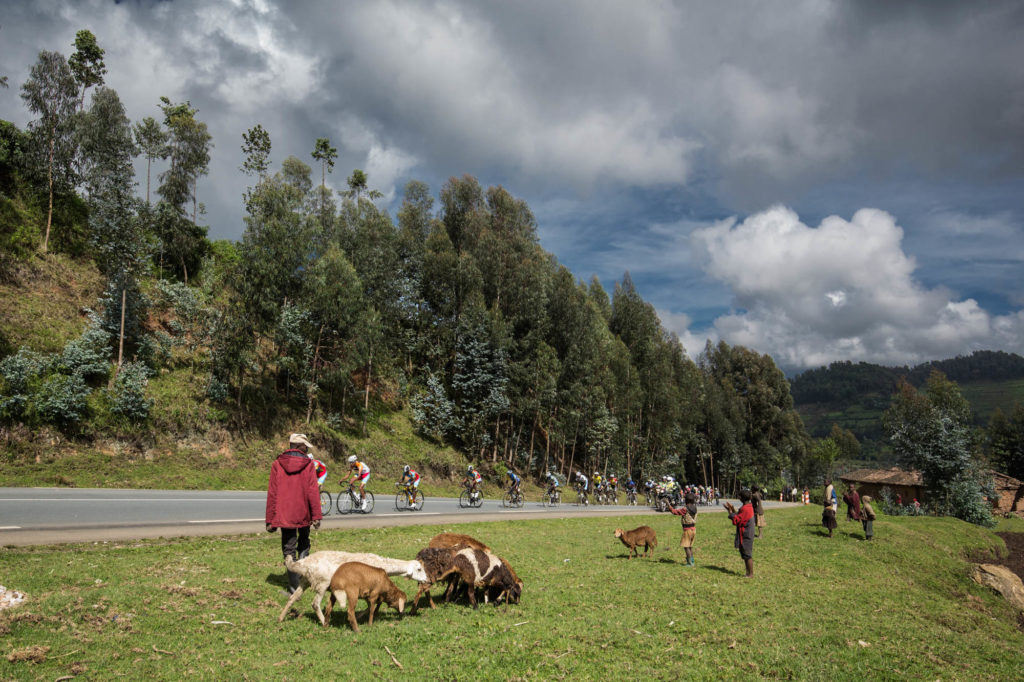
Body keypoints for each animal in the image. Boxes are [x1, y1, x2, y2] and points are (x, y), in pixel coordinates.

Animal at [278, 548, 425, 622]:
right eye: (419, 569)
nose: (426, 579)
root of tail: (304, 563)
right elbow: (372, 604)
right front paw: (360, 616)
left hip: (305, 581)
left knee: (292, 598)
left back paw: (280, 618)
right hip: (322, 583)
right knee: (315, 604)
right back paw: (324, 621)